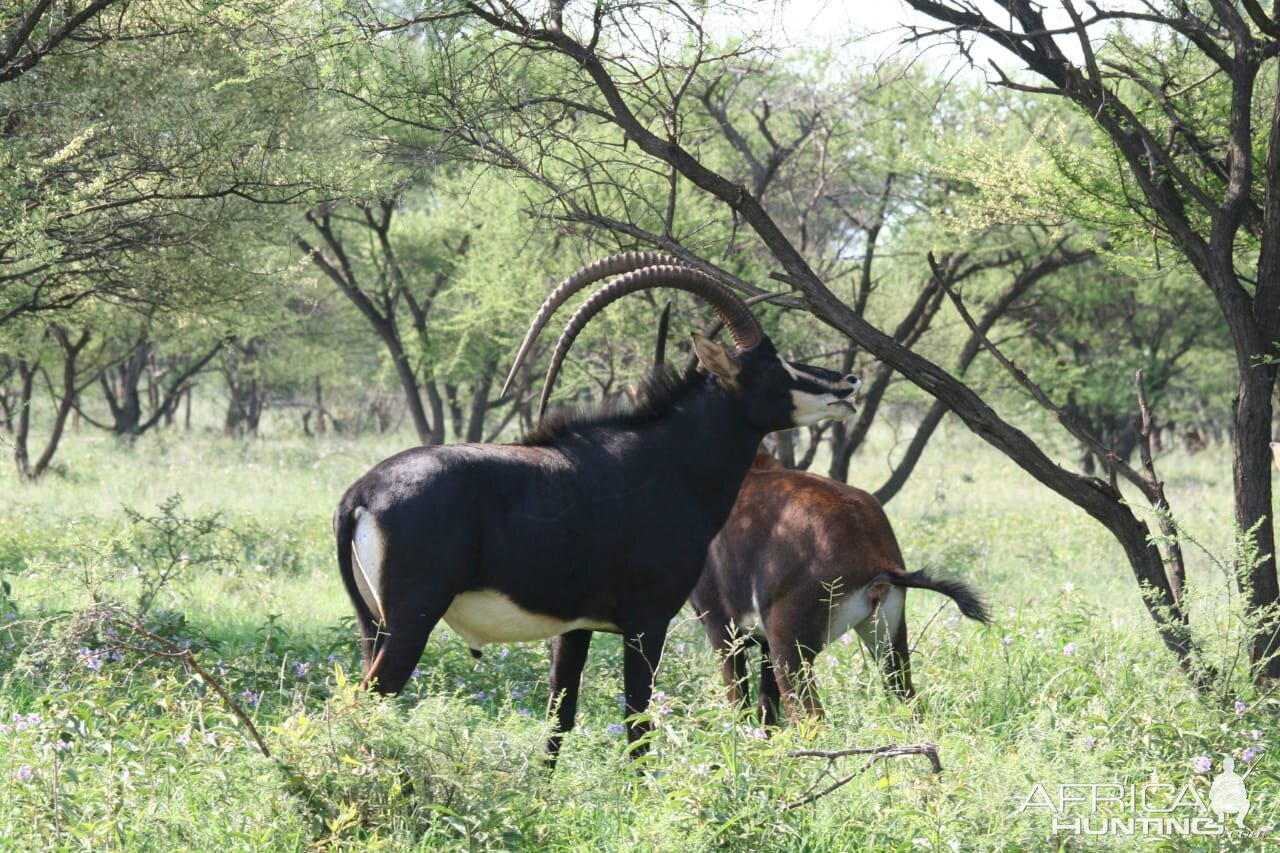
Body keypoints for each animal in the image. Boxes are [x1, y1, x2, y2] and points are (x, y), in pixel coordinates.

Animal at [691, 450, 988, 722]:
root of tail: (873, 555)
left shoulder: (721, 629)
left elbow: (740, 705)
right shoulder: (760, 642)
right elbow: (766, 708)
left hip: (789, 648)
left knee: (812, 717)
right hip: (888, 639)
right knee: (909, 698)